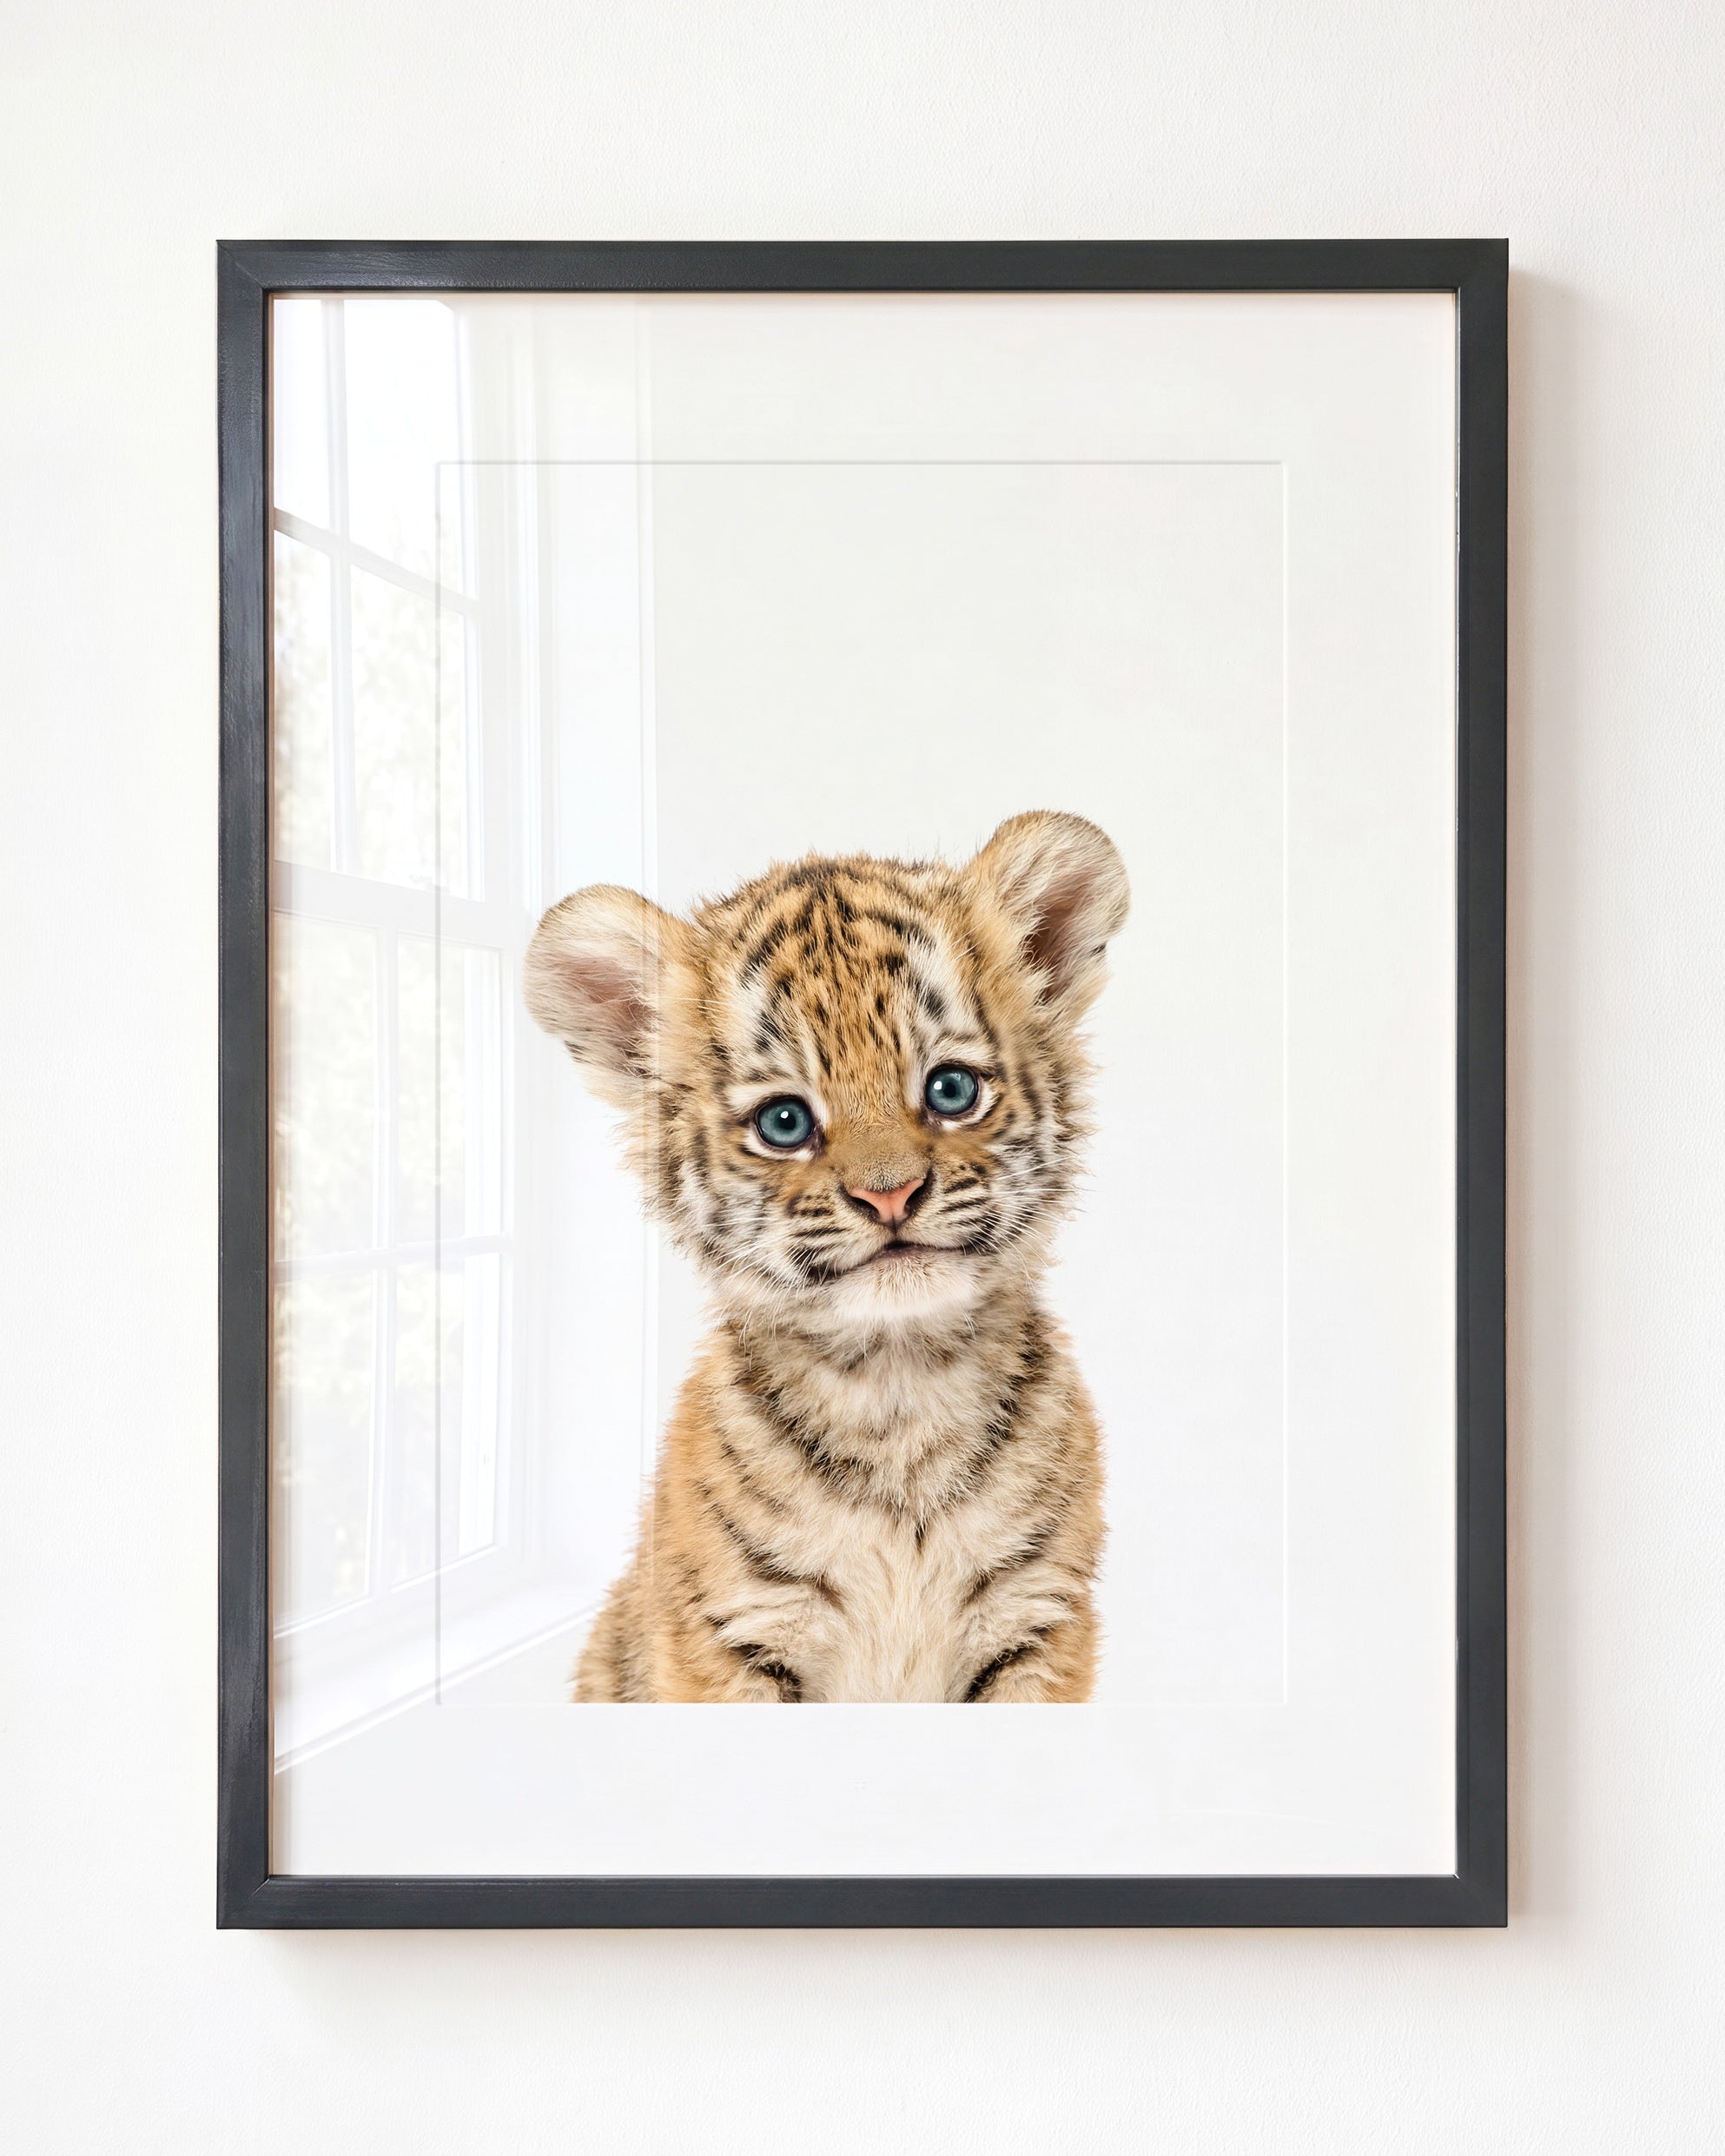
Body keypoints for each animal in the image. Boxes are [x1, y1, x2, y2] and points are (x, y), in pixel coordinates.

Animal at [523, 810, 1129, 1703]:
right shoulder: (732, 1636)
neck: (899, 1390)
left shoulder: (1037, 1620)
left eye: (951, 1090)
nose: (890, 1195)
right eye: (784, 1122)